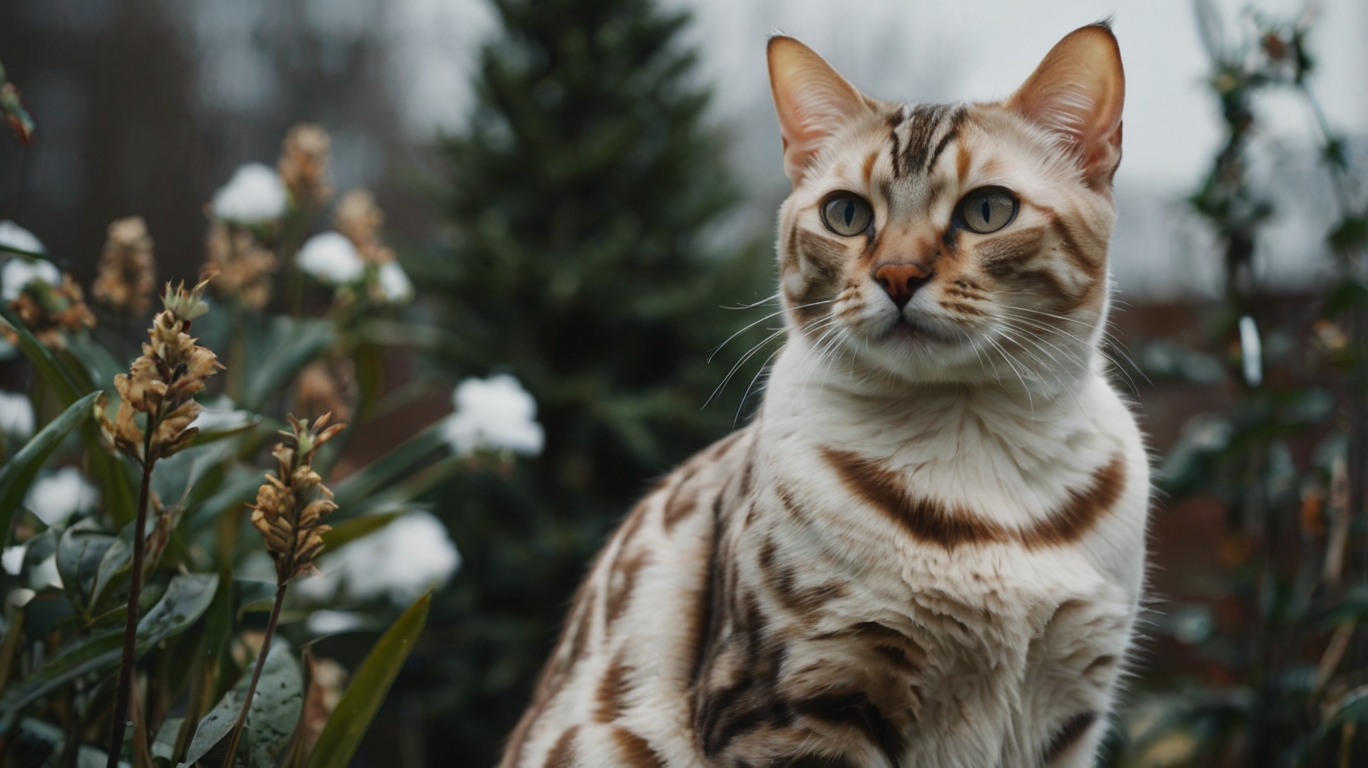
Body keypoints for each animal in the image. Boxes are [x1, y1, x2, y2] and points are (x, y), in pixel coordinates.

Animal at [497, 23, 1149, 766]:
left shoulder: (1065, 710)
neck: (972, 440)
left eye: (988, 210)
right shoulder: (800, 701)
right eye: (846, 214)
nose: (897, 275)